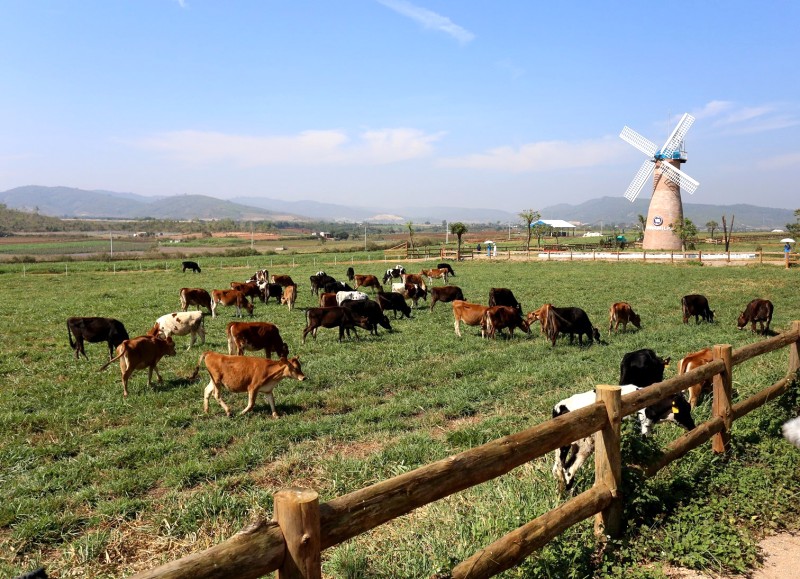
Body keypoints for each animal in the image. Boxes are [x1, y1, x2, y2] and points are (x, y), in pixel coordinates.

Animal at [552, 388, 696, 492]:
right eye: (685, 408)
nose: (693, 426)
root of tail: (560, 406)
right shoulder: (642, 431)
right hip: (578, 445)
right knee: (565, 469)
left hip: (581, 446)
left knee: (565, 469)